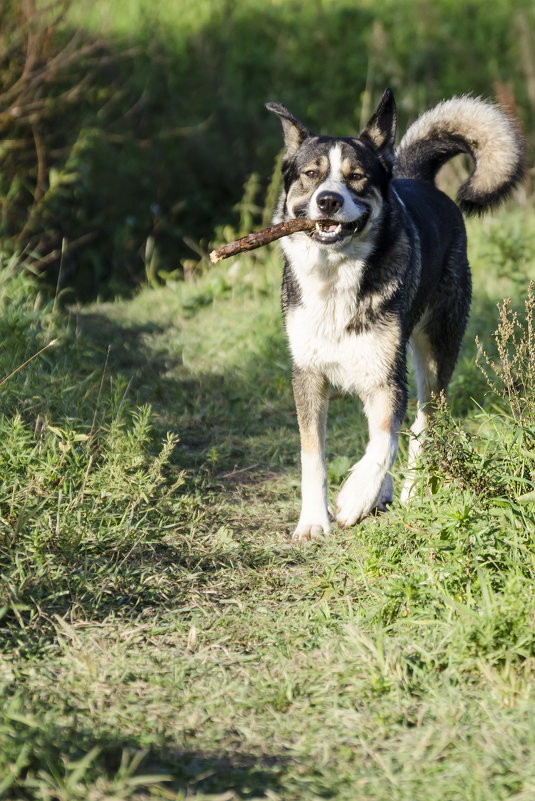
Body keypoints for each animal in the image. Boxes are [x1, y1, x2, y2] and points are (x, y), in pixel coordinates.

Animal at [266, 87, 524, 540]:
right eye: (311, 174)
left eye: (356, 176)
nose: (328, 201)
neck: (335, 277)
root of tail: (417, 178)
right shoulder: (308, 375)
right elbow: (313, 454)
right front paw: (314, 520)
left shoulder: (389, 377)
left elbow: (385, 440)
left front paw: (355, 498)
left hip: (436, 349)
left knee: (422, 423)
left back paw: (407, 490)